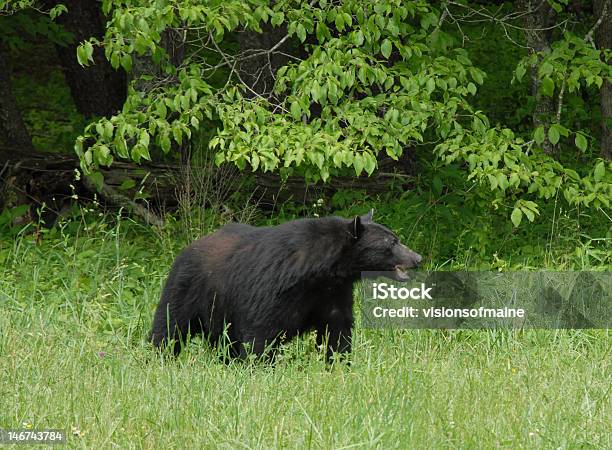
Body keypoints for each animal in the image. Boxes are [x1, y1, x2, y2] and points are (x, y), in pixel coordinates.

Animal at [151, 213, 424, 360]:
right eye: (391, 243)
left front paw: (339, 363)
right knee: (169, 326)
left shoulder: (334, 292)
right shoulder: (271, 288)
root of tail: (186, 249)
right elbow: (260, 332)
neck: (321, 272)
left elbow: (338, 328)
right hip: (187, 288)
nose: (418, 258)